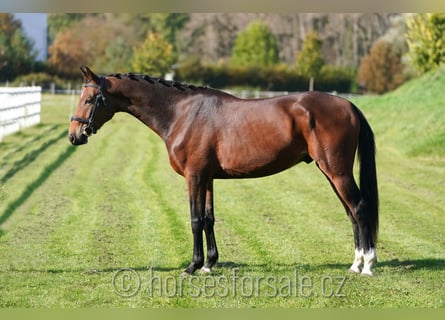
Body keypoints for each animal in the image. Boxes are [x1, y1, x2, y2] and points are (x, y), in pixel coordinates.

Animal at [69, 66, 378, 276]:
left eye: (89, 99)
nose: (74, 136)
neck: (182, 113)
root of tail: (348, 105)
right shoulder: (207, 178)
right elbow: (209, 219)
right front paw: (209, 264)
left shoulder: (194, 177)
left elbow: (195, 220)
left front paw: (192, 266)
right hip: (331, 174)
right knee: (350, 213)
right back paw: (355, 263)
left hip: (337, 172)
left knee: (360, 208)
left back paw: (368, 265)